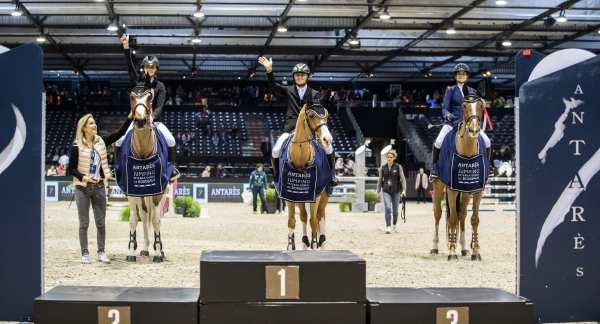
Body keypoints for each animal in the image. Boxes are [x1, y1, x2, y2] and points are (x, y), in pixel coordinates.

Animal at [284, 104, 332, 251]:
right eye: (311, 116)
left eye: (327, 116)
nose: (327, 139)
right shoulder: (290, 195)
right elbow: (293, 221)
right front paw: (291, 246)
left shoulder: (316, 194)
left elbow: (314, 221)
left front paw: (315, 245)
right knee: (305, 216)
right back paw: (306, 242)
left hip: (324, 194)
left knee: (320, 216)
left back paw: (321, 243)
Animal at [432, 93, 488, 260]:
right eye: (464, 106)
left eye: (481, 106)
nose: (474, 130)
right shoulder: (451, 189)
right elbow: (452, 219)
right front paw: (451, 251)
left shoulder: (477, 190)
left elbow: (474, 219)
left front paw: (475, 251)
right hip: (438, 186)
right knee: (438, 213)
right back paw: (435, 247)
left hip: (466, 191)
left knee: (462, 214)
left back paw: (464, 248)